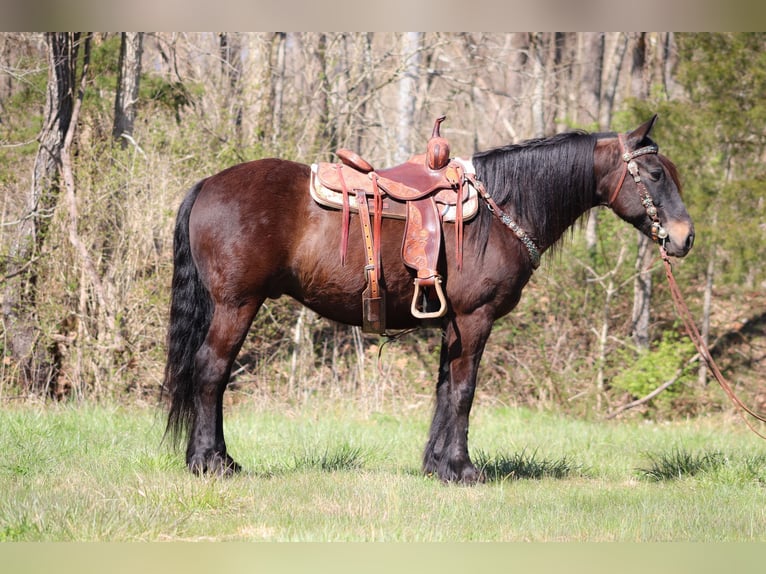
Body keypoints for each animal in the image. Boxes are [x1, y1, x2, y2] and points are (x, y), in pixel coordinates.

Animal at [162, 115, 696, 484]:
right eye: (654, 173)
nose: (684, 237)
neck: (503, 210)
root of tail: (207, 184)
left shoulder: (454, 323)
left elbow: (444, 389)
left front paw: (437, 465)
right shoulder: (475, 318)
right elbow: (464, 392)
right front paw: (462, 470)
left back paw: (215, 458)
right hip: (237, 304)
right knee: (211, 370)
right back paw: (211, 462)